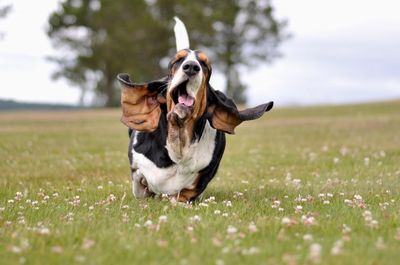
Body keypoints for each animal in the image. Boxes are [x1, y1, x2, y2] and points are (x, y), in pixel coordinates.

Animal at [115, 17, 272, 201]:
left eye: (204, 64)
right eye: (177, 61)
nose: (191, 66)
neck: (179, 145)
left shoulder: (197, 183)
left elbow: (182, 195)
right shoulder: (138, 171)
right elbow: (140, 184)